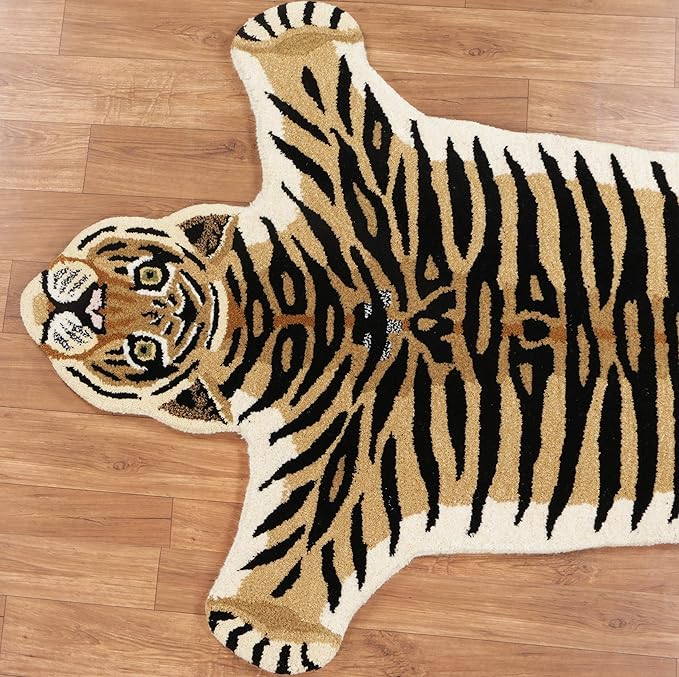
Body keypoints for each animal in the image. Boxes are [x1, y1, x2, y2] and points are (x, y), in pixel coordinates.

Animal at [20, 1, 678, 674]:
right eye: (139, 342)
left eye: (149, 282)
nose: (83, 306)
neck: (269, 312)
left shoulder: (356, 172)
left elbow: (317, 94)